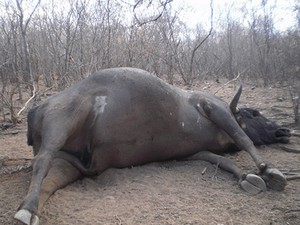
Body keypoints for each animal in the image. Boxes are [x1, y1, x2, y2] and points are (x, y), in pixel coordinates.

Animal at [14, 67, 290, 225]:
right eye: (255, 113)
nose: (283, 130)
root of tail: (37, 109)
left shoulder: (193, 153)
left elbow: (222, 160)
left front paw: (247, 176)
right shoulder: (212, 106)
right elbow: (243, 138)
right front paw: (269, 170)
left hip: (72, 164)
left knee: (49, 181)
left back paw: (31, 209)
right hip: (65, 120)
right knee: (41, 160)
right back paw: (27, 208)